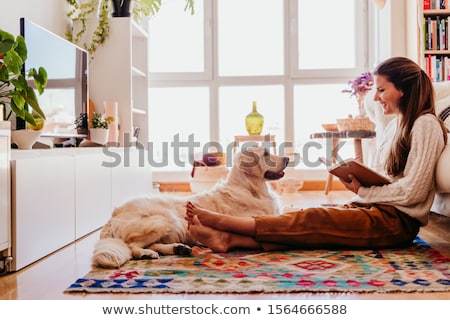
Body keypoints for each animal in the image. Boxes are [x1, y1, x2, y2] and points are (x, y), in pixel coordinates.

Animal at [91, 147, 288, 268]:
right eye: (266, 154)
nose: (287, 158)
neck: (251, 188)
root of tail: (112, 217)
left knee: (153, 243)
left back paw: (178, 249)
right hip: (163, 219)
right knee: (131, 245)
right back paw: (146, 254)